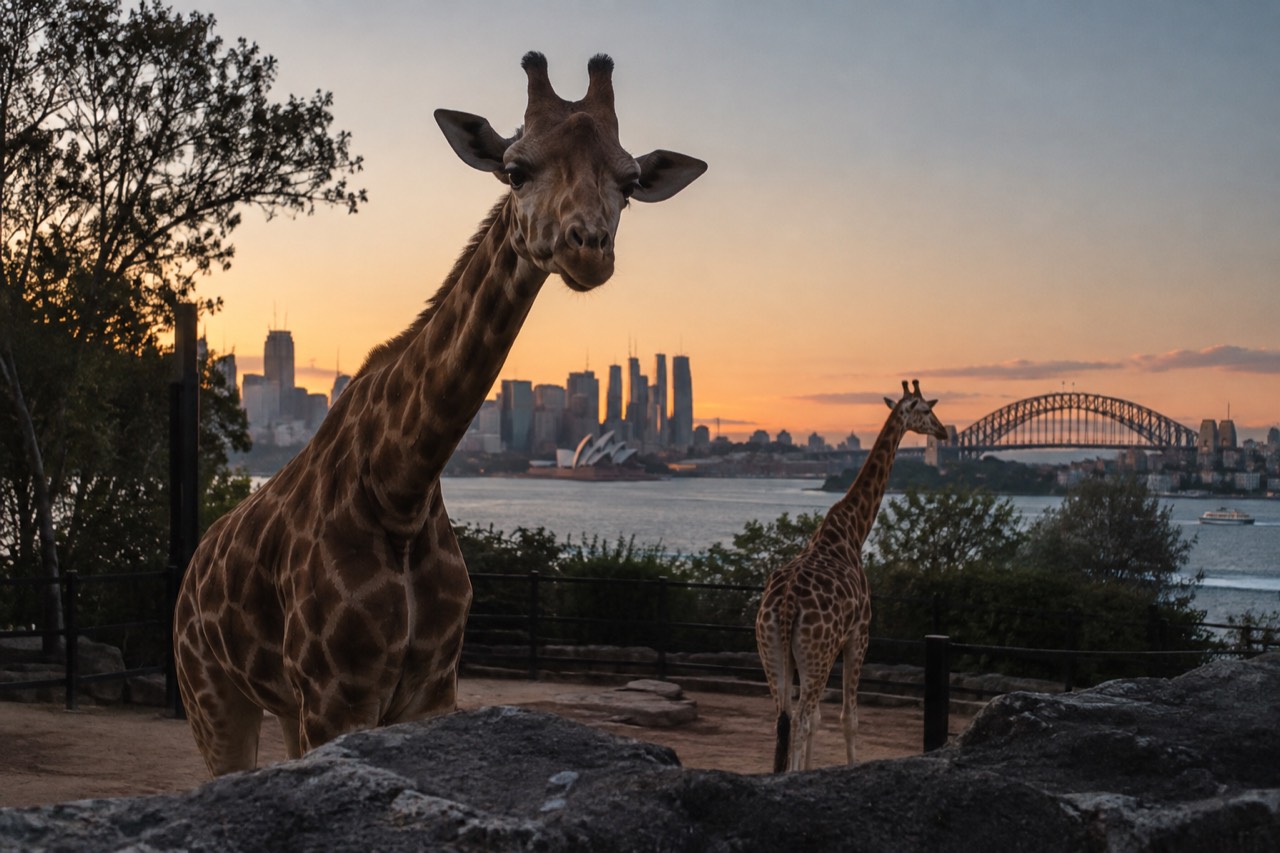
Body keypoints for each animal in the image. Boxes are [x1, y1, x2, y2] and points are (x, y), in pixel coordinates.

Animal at [174, 52, 705, 777]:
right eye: (515, 168)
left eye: (628, 183)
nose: (588, 246)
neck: (400, 490)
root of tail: (194, 564)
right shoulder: (335, 696)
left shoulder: (427, 690)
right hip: (212, 696)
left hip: (281, 704)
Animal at [755, 380, 948, 772]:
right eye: (926, 409)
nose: (944, 432)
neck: (853, 530)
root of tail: (786, 607)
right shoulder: (859, 634)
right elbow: (848, 718)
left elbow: (819, 720)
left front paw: (807, 770)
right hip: (815, 654)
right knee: (800, 717)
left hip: (773, 652)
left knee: (784, 718)